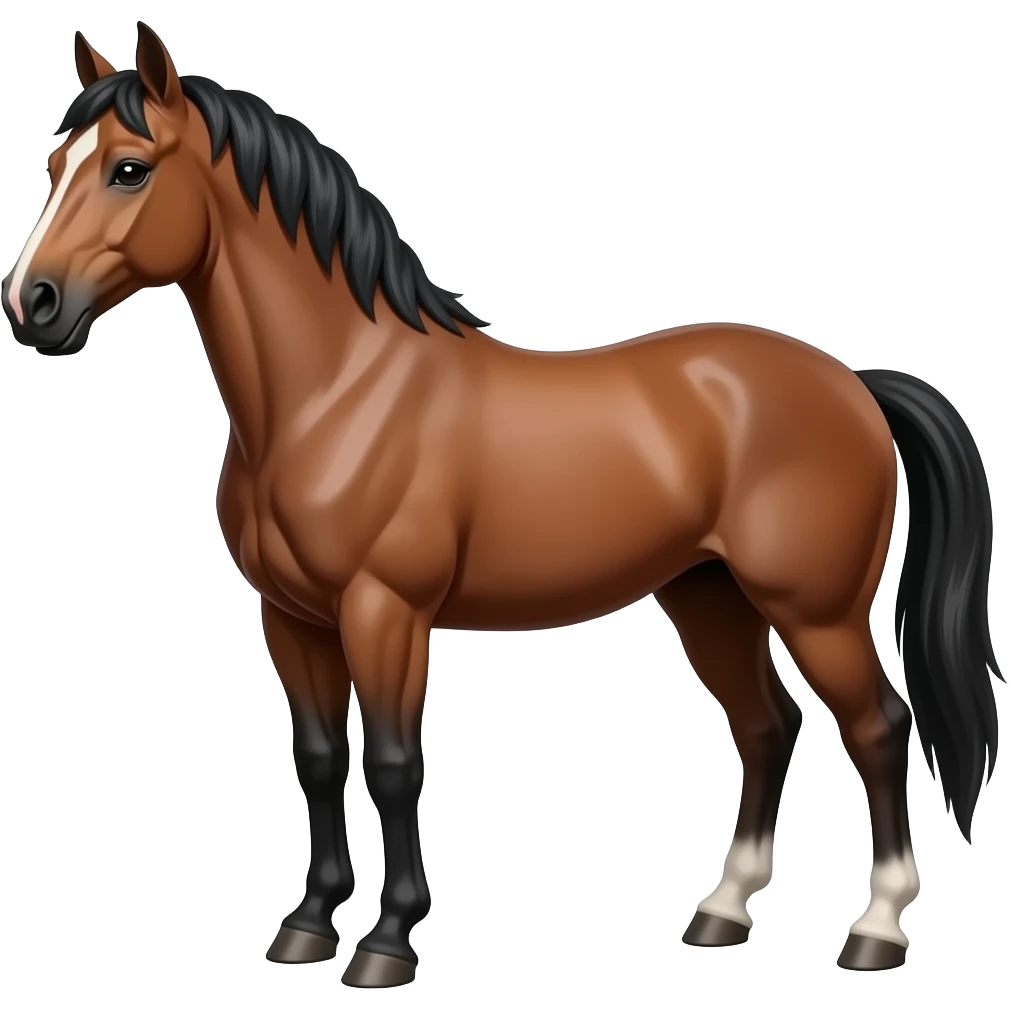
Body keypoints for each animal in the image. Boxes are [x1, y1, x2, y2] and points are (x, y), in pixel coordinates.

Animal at [2, 23, 1002, 986]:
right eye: (53, 167)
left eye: (130, 169)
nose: (32, 304)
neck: (339, 391)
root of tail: (854, 384)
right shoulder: (291, 619)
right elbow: (319, 762)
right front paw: (308, 926)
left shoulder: (385, 613)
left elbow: (393, 765)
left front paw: (387, 943)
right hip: (709, 596)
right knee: (766, 728)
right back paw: (722, 913)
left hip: (815, 610)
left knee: (878, 729)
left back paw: (876, 931)